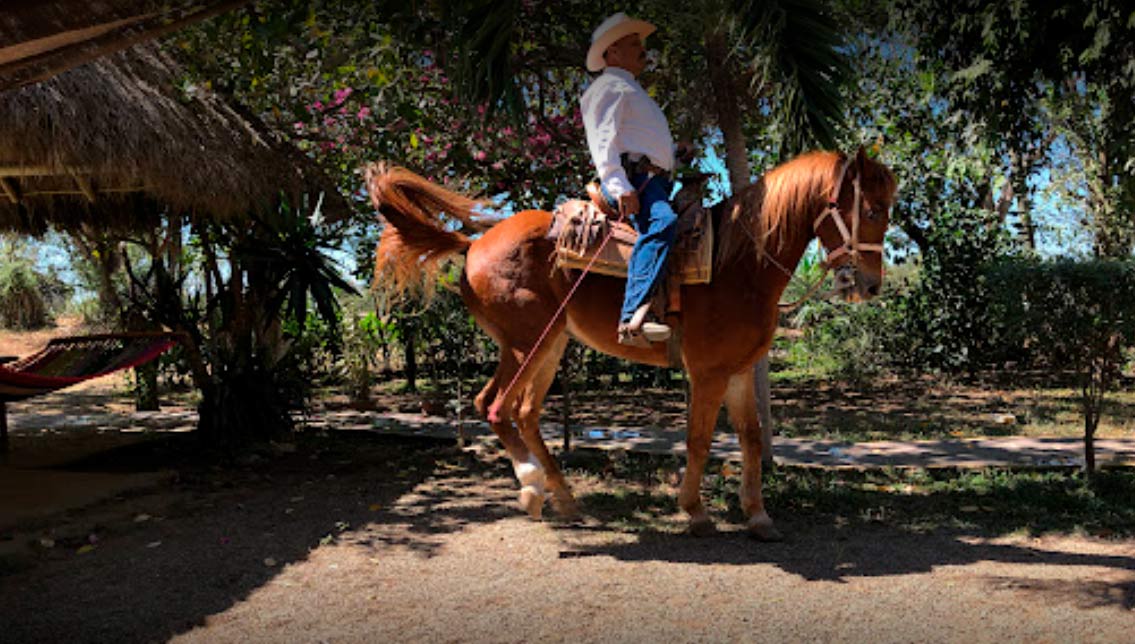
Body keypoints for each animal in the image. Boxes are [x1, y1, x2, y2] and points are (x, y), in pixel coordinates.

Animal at [363, 148, 894, 542]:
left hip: (549, 345)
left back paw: (564, 499)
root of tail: (473, 244)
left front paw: (758, 516)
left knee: (525, 413)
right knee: (491, 405)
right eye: (870, 210)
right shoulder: (709, 373)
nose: (869, 286)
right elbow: (700, 439)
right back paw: (532, 487)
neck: (738, 263)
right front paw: (695, 511)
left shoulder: (741, 369)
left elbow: (751, 437)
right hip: (524, 343)